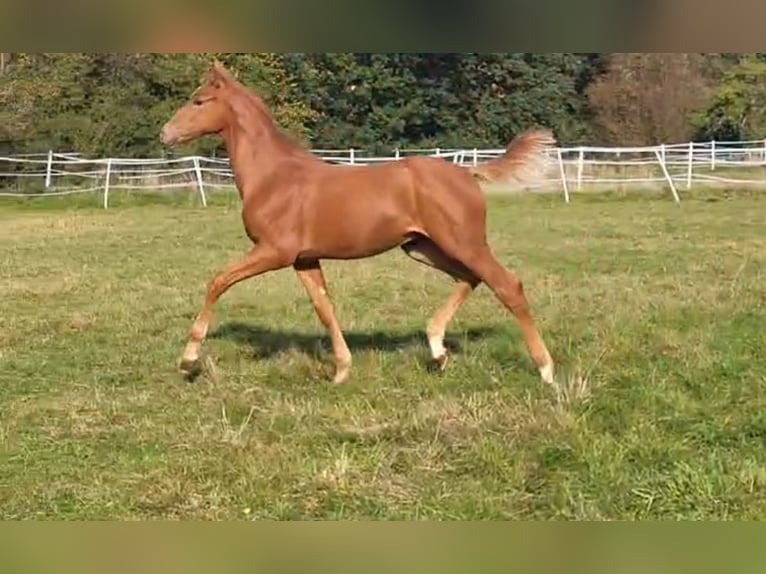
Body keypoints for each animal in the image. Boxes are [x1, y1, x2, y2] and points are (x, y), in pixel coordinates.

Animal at [160, 60, 560, 388]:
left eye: (199, 101)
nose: (165, 134)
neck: (273, 176)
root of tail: (466, 172)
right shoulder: (304, 259)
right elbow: (324, 309)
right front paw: (341, 370)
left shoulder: (274, 251)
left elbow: (218, 282)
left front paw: (188, 361)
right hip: (422, 247)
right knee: (469, 278)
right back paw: (437, 350)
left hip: (464, 243)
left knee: (508, 286)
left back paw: (545, 370)